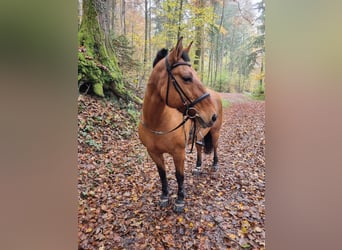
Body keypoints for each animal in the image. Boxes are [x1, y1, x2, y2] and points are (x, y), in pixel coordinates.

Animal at [138, 37, 218, 213]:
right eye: (187, 78)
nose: (213, 115)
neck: (157, 122)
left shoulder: (178, 153)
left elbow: (179, 175)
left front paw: (180, 200)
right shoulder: (153, 153)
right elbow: (162, 174)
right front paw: (164, 196)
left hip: (215, 132)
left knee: (215, 147)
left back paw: (215, 164)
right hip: (199, 135)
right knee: (200, 149)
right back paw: (198, 167)